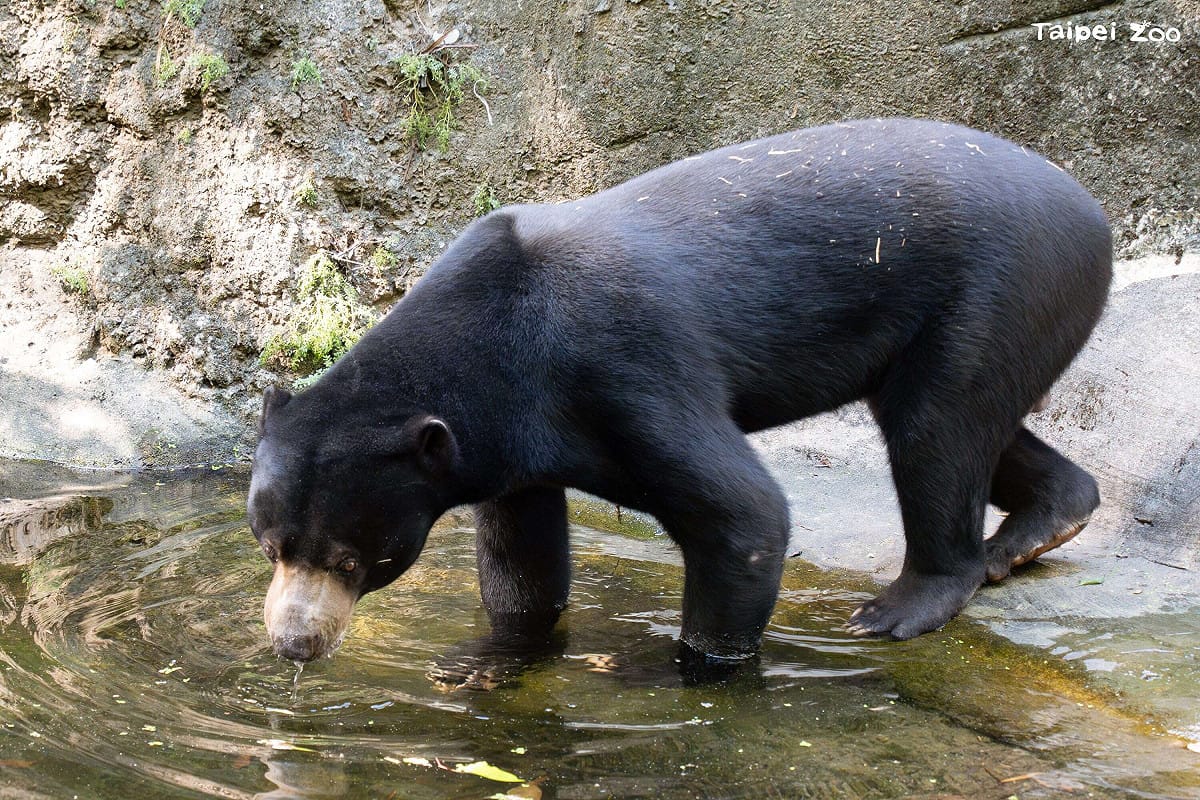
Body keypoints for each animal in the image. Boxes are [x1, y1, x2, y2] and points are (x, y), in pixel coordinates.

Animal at [247, 117, 1111, 671]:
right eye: (271, 546)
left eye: (354, 558)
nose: (294, 645)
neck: (491, 343)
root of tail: (1091, 210)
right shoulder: (505, 437)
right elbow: (522, 555)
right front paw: (496, 656)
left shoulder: (623, 367)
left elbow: (743, 514)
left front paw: (701, 669)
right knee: (964, 423)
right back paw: (1045, 523)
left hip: (998, 288)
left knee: (937, 430)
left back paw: (902, 606)